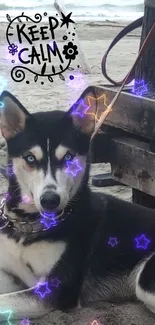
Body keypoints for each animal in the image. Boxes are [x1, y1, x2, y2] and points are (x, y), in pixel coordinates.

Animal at [0, 86, 155, 322]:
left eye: (68, 157)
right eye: (30, 158)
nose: (50, 200)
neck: (30, 226)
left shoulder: (52, 292)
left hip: (145, 281)